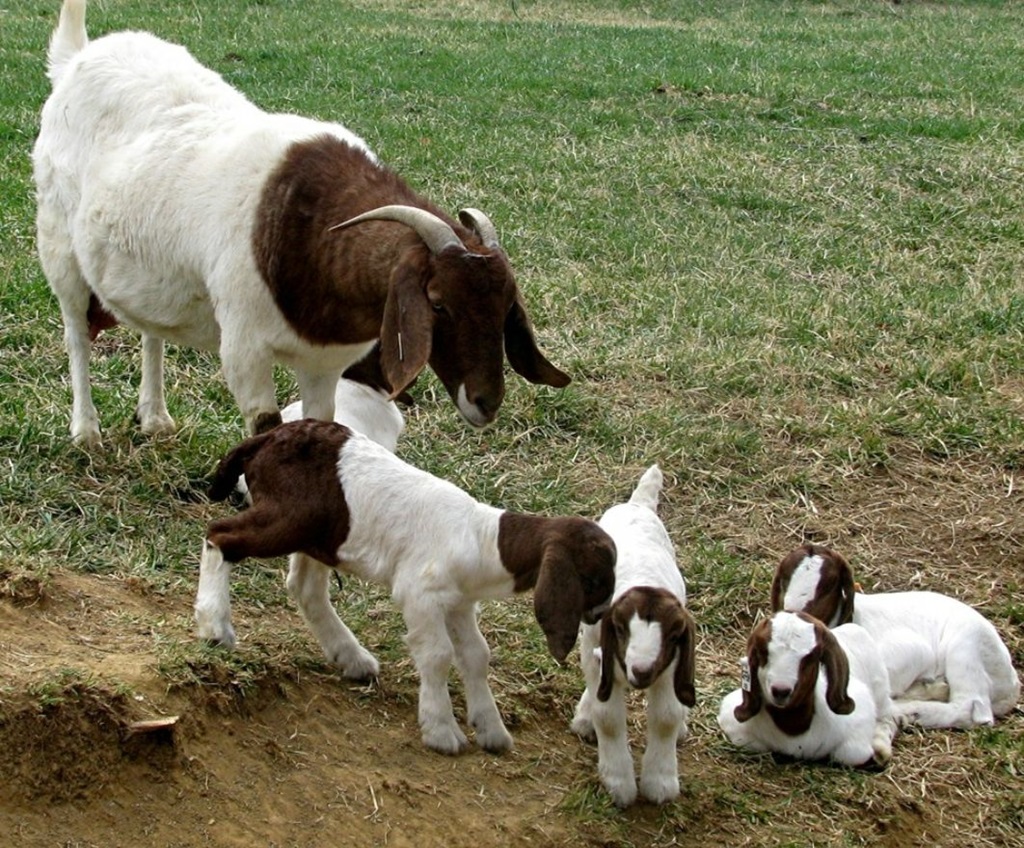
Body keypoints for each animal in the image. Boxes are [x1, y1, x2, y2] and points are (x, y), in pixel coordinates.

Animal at [34, 0, 569, 447]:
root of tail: (77, 57)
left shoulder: (324, 364)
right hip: (58, 244)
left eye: (507, 306)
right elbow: (265, 428)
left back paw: (155, 418)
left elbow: (321, 422)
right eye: (437, 305)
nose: (487, 402)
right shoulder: (244, 350)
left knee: (150, 330)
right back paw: (86, 431)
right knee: (76, 333)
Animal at [193, 419, 617, 755]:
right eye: (593, 578)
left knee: (304, 587)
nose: (599, 615)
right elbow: (437, 654)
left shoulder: (459, 603)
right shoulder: (420, 593)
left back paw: (352, 658)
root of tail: (263, 440)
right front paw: (441, 731)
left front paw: (491, 730)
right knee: (220, 535)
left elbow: (476, 655)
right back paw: (215, 625)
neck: (482, 538)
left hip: (319, 536)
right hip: (288, 518)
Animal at [570, 465, 696, 807]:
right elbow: (608, 717)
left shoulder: (670, 665)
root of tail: (637, 504)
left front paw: (660, 783)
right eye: (622, 629)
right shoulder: (601, 655)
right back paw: (584, 717)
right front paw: (618, 783)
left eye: (673, 635)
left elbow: (666, 717)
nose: (641, 671)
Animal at [718, 611, 898, 768]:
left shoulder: (861, 716)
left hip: (880, 687)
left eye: (812, 656)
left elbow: (851, 753)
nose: (781, 691)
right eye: (763, 651)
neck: (794, 729)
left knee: (887, 717)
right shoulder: (732, 722)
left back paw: (881, 748)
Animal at [772, 543, 1020, 729]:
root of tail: (1011, 684)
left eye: (829, 584)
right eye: (783, 579)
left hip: (966, 646)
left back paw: (910, 711)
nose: (792, 613)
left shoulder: (912, 652)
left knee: (970, 708)